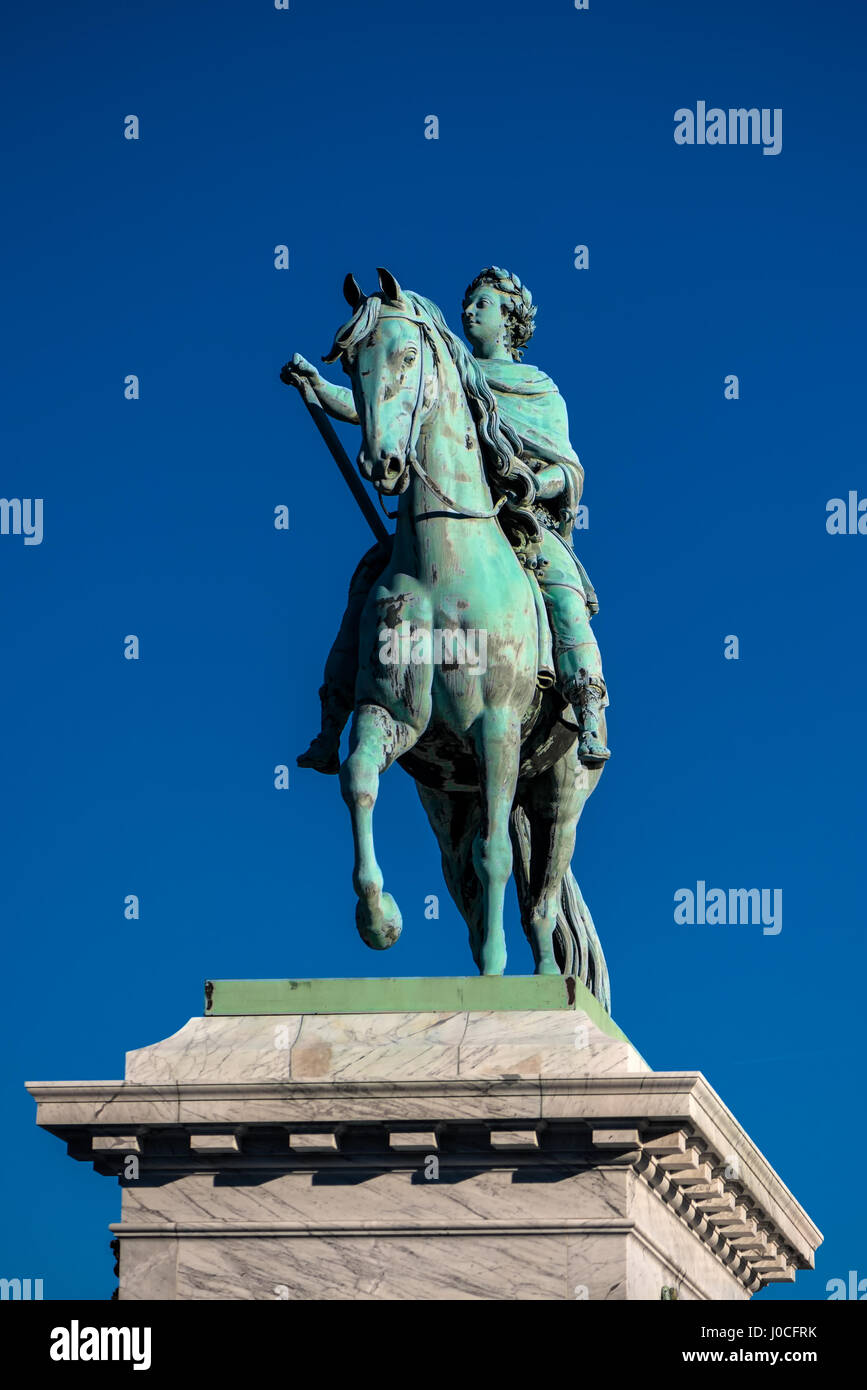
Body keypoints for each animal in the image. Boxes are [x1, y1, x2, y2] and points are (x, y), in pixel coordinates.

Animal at [319, 265, 608, 1006]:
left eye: (407, 356)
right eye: (351, 364)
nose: (383, 464)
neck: (441, 561)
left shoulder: (498, 727)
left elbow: (499, 858)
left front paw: (501, 974)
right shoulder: (390, 715)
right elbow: (357, 780)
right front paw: (379, 920)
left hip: (559, 789)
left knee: (540, 897)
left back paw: (541, 978)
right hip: (450, 798)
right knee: (467, 887)